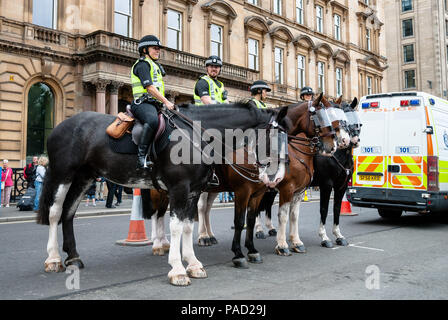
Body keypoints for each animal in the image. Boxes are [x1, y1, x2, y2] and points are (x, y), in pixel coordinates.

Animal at [35, 101, 288, 286]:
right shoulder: (179, 189)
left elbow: (188, 226)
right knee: (56, 212)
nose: (276, 177)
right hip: (63, 175)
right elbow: (175, 227)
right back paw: (53, 258)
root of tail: (61, 125)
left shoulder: (193, 191)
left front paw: (193, 264)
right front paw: (177, 269)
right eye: (274, 139)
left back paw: (73, 257)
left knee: (69, 213)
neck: (195, 135)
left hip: (84, 178)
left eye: (288, 138)